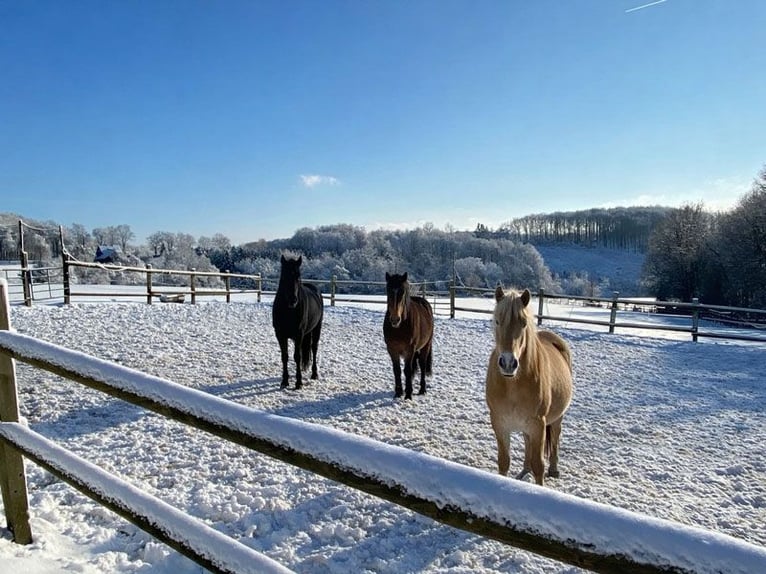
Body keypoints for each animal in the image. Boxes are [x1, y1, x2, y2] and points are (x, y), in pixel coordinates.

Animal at [272, 255, 324, 390]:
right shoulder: (280, 335)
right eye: (284, 276)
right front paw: (284, 381)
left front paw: (298, 382)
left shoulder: (299, 334)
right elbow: (285, 356)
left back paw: (314, 374)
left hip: (316, 329)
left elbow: (297, 357)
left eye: (298, 276)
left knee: (314, 349)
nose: (293, 300)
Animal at [485, 287, 573, 486]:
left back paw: (554, 469)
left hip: (556, 418)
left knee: (555, 439)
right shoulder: (500, 423)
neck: (512, 384)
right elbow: (504, 461)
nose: (508, 363)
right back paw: (525, 470)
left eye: (524, 324)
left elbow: (539, 464)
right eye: (497, 321)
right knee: (527, 442)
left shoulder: (538, 425)